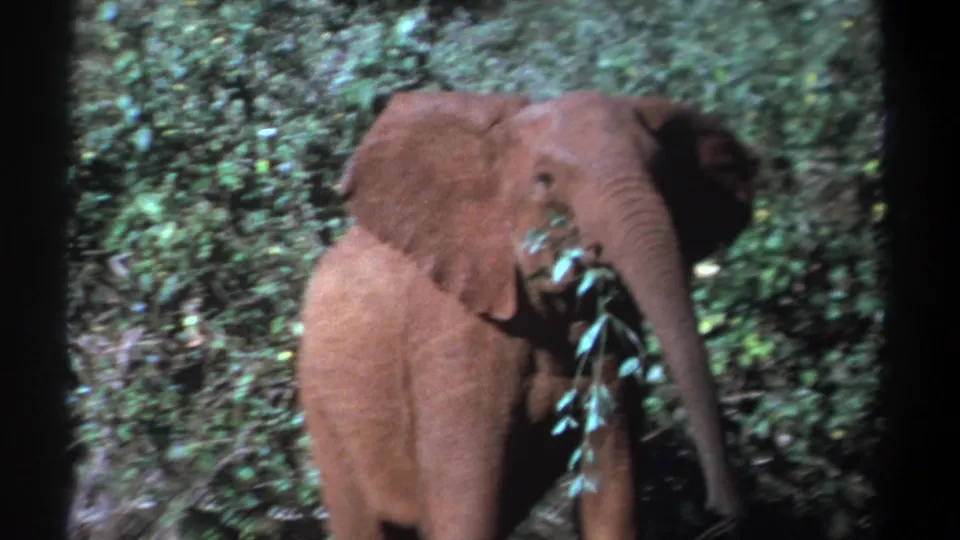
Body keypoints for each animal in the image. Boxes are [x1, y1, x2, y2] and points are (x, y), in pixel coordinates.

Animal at [298, 90, 759, 540]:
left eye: (664, 174)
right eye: (545, 181)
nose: (723, 510)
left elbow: (612, 487)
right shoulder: (455, 337)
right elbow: (466, 510)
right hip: (323, 403)